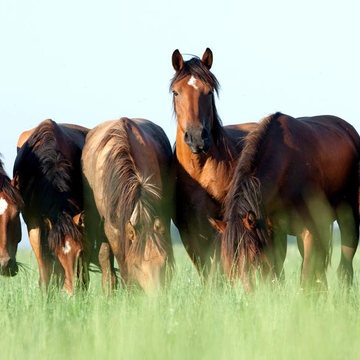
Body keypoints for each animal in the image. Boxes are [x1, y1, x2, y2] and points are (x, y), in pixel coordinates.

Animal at [210, 112, 360, 292]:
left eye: (253, 257)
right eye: (227, 261)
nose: (245, 294)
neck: (285, 168)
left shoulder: (309, 232)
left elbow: (306, 277)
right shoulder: (272, 232)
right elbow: (277, 274)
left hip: (349, 220)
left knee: (345, 266)